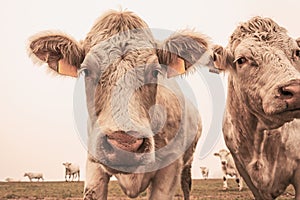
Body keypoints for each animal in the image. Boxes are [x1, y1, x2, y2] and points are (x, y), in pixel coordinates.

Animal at [27, 9, 213, 200]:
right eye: (86, 71)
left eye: (155, 71)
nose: (125, 143)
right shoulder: (93, 162)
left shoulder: (171, 167)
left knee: (186, 184)